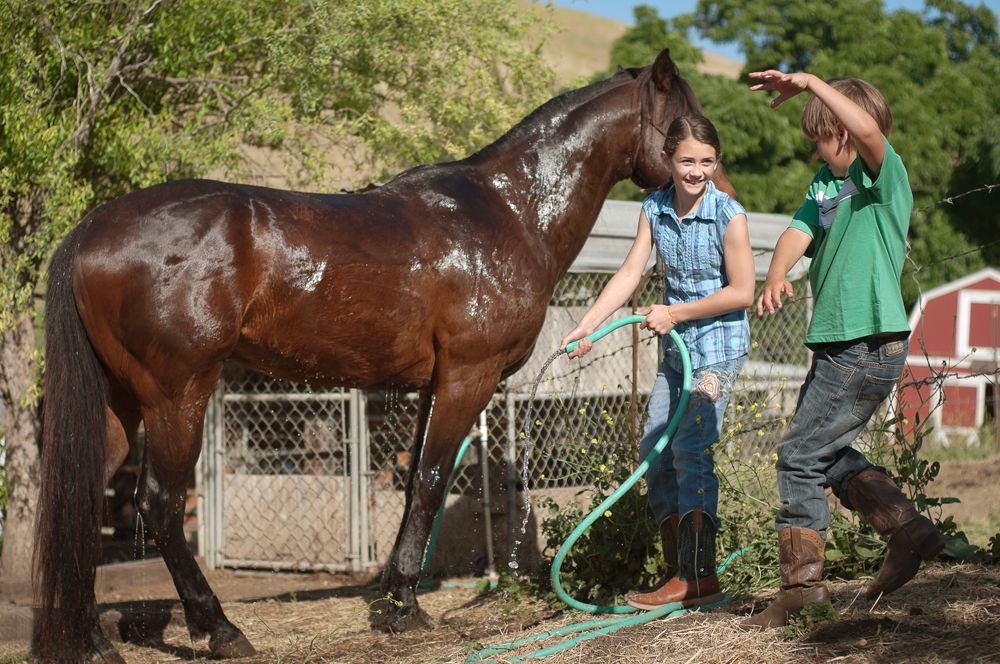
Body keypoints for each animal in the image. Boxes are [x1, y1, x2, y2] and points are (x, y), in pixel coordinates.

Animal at [33, 48, 735, 662]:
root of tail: (91, 231)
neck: (510, 209)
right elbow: (429, 481)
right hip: (177, 395)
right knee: (156, 504)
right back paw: (222, 630)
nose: (719, 198)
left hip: (120, 404)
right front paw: (404, 606)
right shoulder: (465, 378)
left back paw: (93, 641)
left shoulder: (431, 387)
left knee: (84, 502)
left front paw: (395, 596)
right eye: (687, 131)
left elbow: (413, 482)